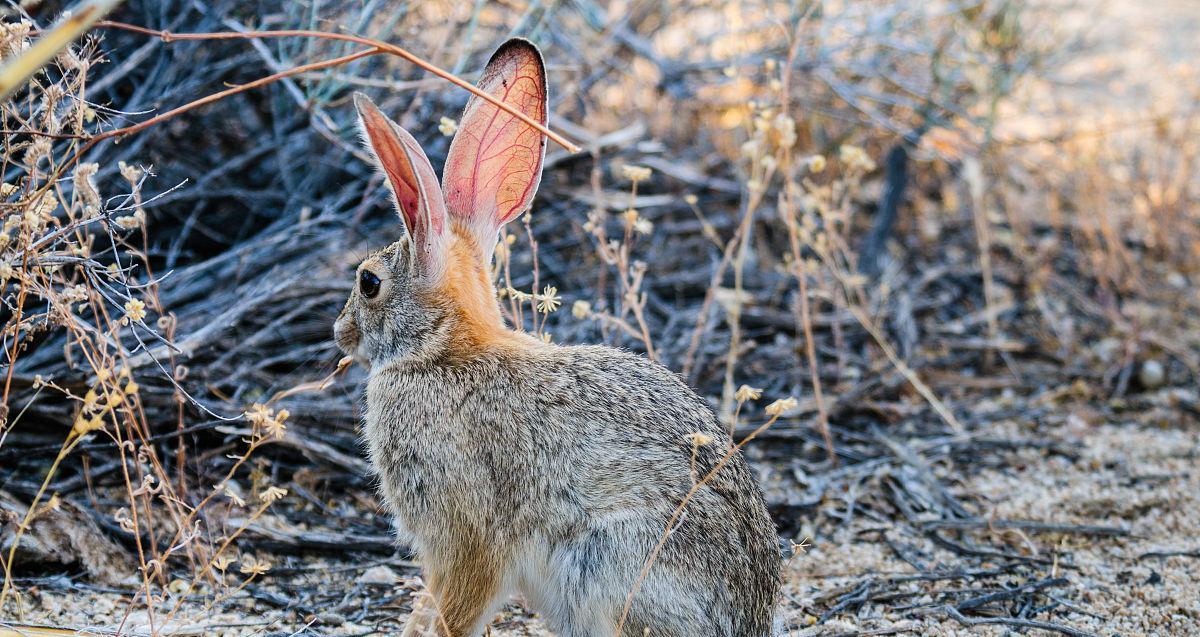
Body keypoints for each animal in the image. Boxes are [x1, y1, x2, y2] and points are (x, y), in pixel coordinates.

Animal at [333, 39, 782, 637]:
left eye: (369, 282)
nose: (340, 332)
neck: (443, 351)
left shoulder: (465, 536)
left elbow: (453, 608)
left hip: (613, 570)